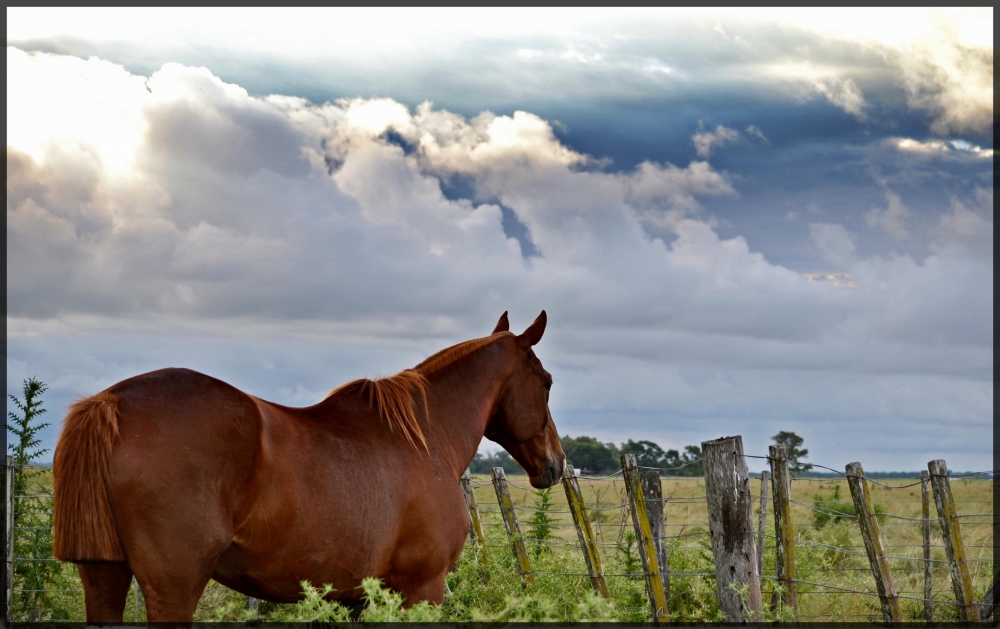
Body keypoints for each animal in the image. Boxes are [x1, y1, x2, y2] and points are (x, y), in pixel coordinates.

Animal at [54, 310, 568, 620]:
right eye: (546, 381)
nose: (556, 464)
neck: (425, 436)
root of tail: (113, 401)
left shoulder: (359, 595)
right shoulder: (421, 588)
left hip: (102, 574)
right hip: (174, 585)